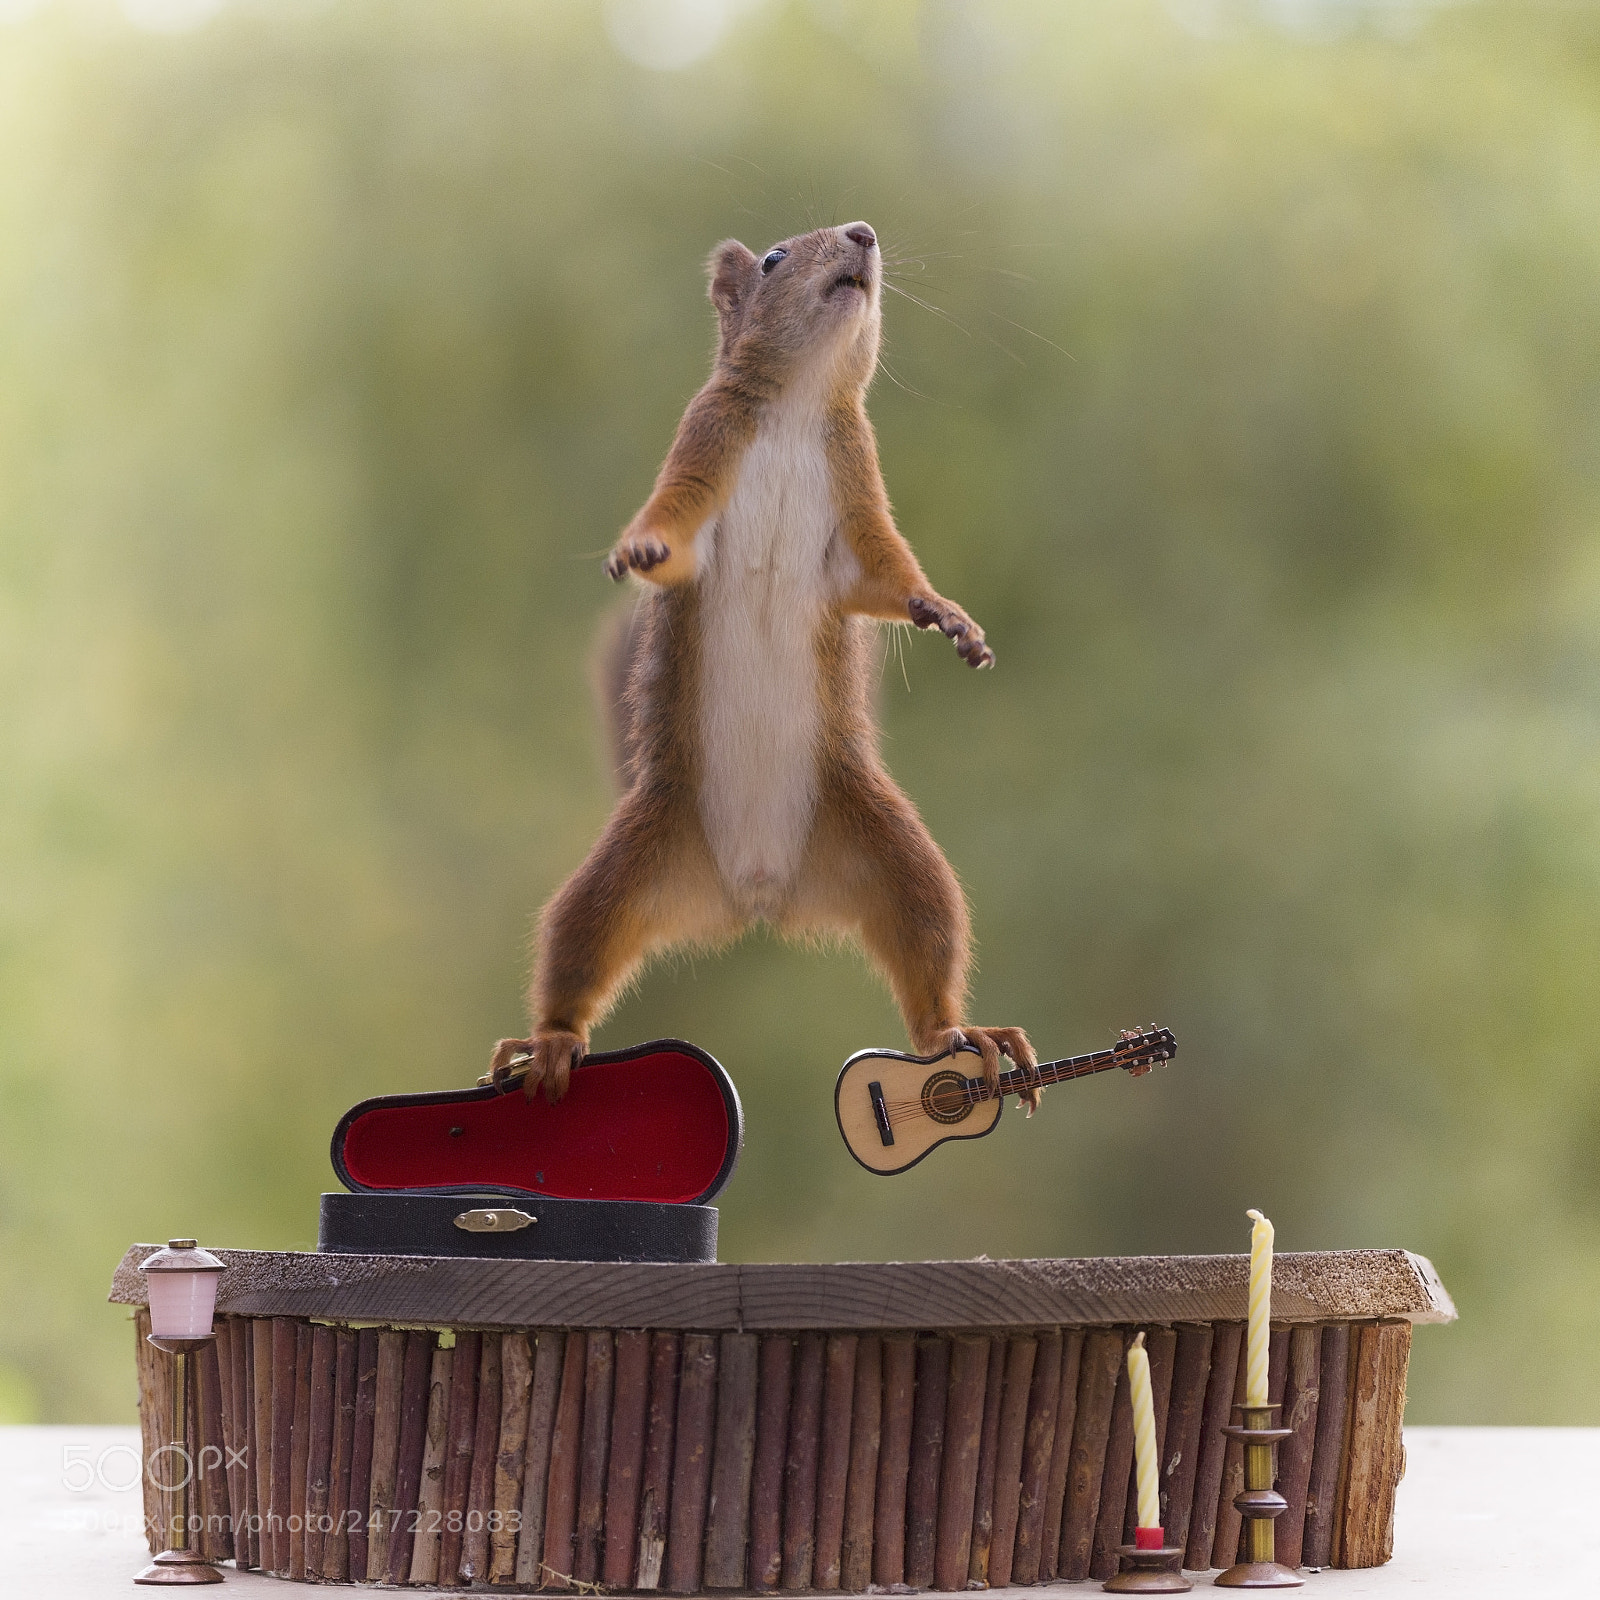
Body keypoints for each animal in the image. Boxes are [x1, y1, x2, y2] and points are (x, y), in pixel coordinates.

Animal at [489, 222, 1040, 1110]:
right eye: (776, 258)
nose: (864, 234)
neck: (795, 408)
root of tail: (755, 895)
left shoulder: (859, 492)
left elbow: (887, 574)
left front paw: (947, 615)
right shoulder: (703, 443)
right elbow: (674, 529)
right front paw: (639, 548)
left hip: (896, 858)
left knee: (929, 951)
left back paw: (965, 1034)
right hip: (623, 870)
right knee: (576, 949)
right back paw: (550, 1041)